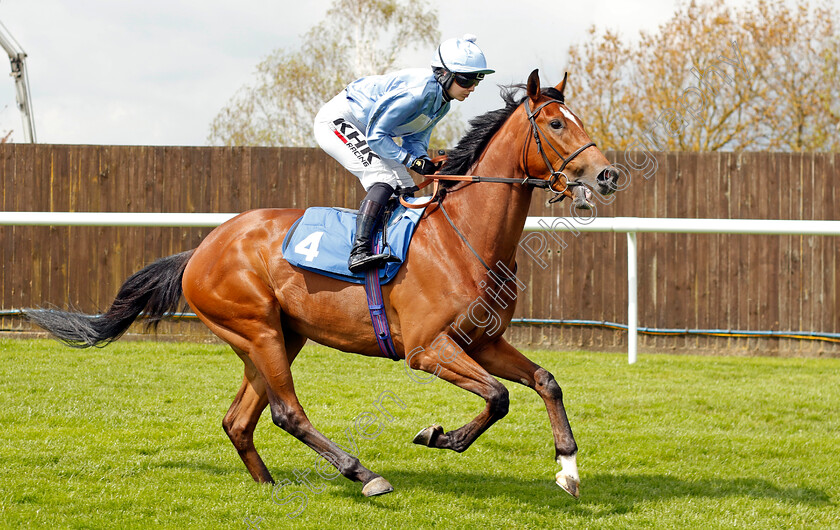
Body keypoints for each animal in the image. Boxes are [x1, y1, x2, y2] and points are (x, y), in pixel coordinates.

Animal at [26, 70, 616, 500]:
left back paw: (267, 486)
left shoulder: (483, 341)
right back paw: (363, 474)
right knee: (286, 412)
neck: (464, 236)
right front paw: (440, 436)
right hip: (258, 329)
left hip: (277, 336)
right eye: (556, 124)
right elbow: (497, 397)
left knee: (238, 420)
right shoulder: (427, 348)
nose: (607, 175)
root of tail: (201, 249)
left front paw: (568, 469)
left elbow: (544, 382)